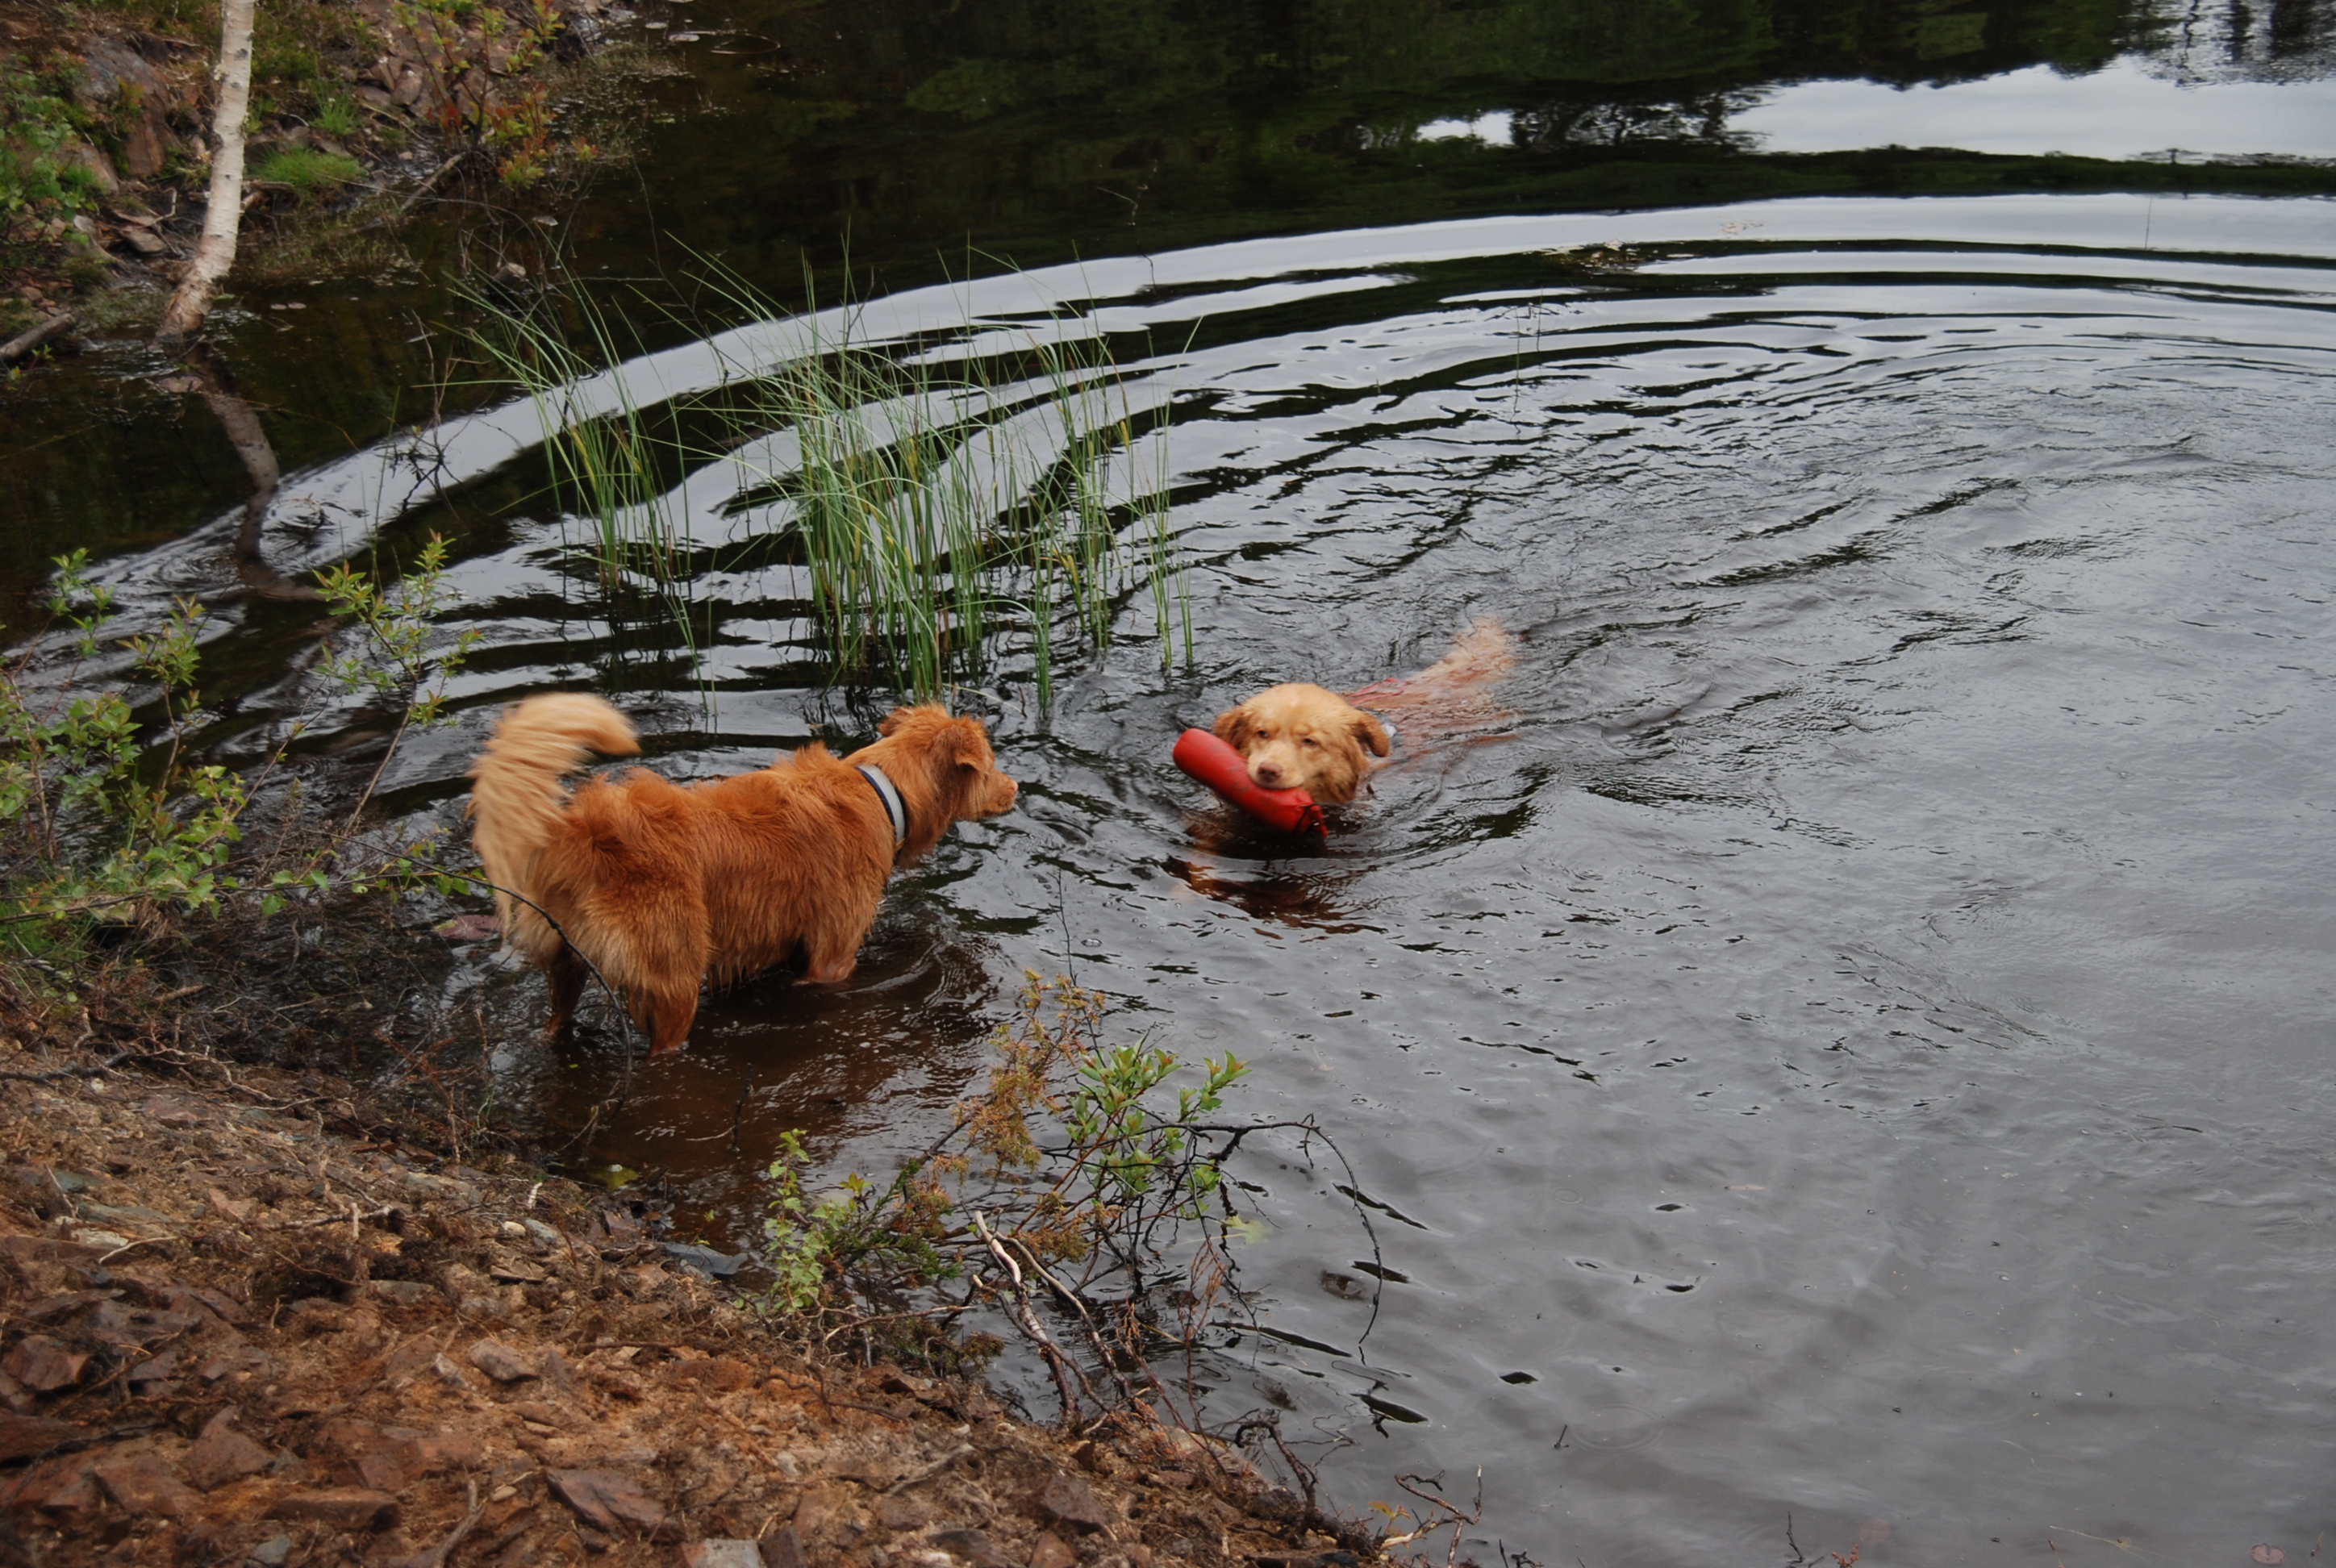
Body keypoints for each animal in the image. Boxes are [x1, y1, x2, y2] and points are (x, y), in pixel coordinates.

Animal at [469, 696, 1018, 1056]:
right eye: (991, 765)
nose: (1015, 787)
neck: (884, 792)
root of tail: (582, 828)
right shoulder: (832, 956)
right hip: (673, 983)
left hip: (565, 964)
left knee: (555, 1022)